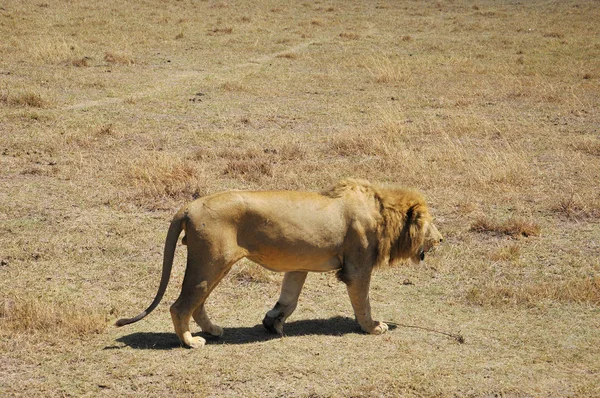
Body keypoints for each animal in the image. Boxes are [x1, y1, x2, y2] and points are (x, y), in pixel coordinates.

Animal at [115, 179, 442, 346]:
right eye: (430, 223)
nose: (441, 239)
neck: (381, 211)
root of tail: (188, 205)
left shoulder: (299, 265)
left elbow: (289, 298)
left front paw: (273, 323)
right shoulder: (357, 268)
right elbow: (363, 302)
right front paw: (373, 327)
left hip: (214, 265)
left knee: (197, 305)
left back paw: (214, 330)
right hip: (210, 262)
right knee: (180, 305)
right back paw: (190, 342)